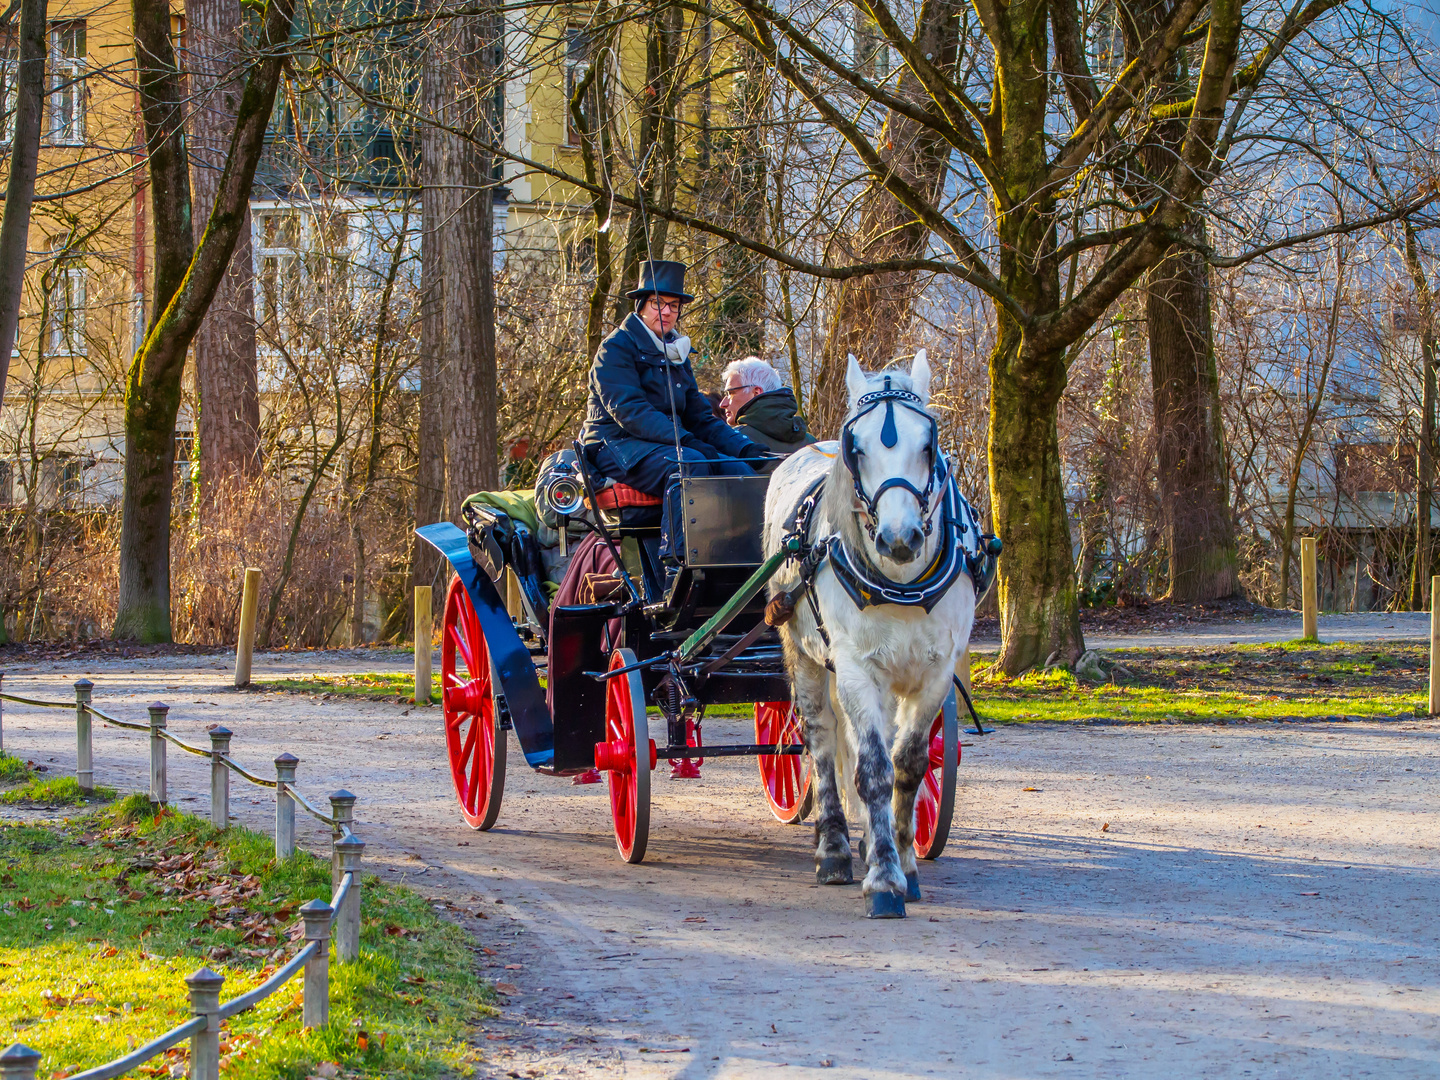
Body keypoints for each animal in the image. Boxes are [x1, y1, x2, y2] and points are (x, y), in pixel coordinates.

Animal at [760, 351, 973, 915]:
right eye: (857, 449)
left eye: (929, 445)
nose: (900, 539)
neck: (900, 582)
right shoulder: (857, 667)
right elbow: (873, 770)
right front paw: (883, 878)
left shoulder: (936, 672)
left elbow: (909, 765)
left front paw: (904, 860)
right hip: (806, 656)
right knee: (822, 742)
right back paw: (833, 846)